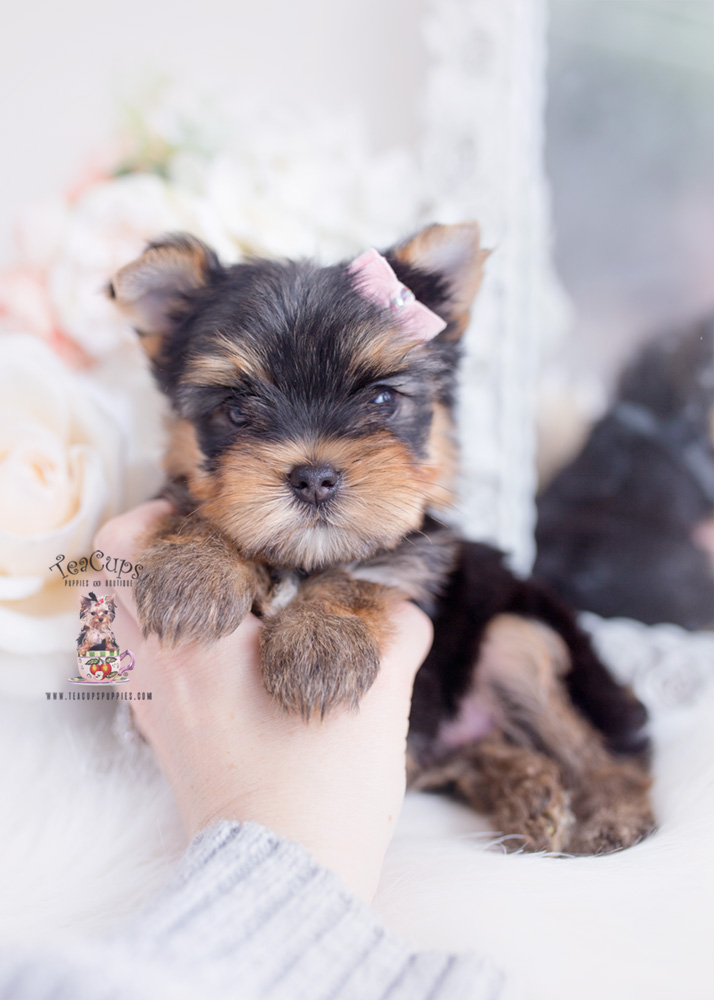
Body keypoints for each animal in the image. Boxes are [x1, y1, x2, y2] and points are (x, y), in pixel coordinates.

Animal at [110, 225, 652, 852]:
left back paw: (611, 815)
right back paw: (527, 791)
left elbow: (361, 575)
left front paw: (320, 646)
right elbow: (201, 509)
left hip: (522, 639)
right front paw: (193, 573)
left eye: (381, 400)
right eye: (238, 410)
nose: (314, 477)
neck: (305, 560)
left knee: (600, 750)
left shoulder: (417, 553)